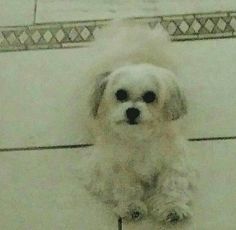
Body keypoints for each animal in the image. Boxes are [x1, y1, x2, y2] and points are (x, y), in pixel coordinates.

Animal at [81, 22, 195, 225]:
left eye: (150, 96)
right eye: (120, 94)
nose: (132, 111)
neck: (138, 138)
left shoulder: (175, 158)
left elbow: (172, 182)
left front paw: (171, 207)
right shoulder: (106, 165)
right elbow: (124, 184)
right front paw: (131, 206)